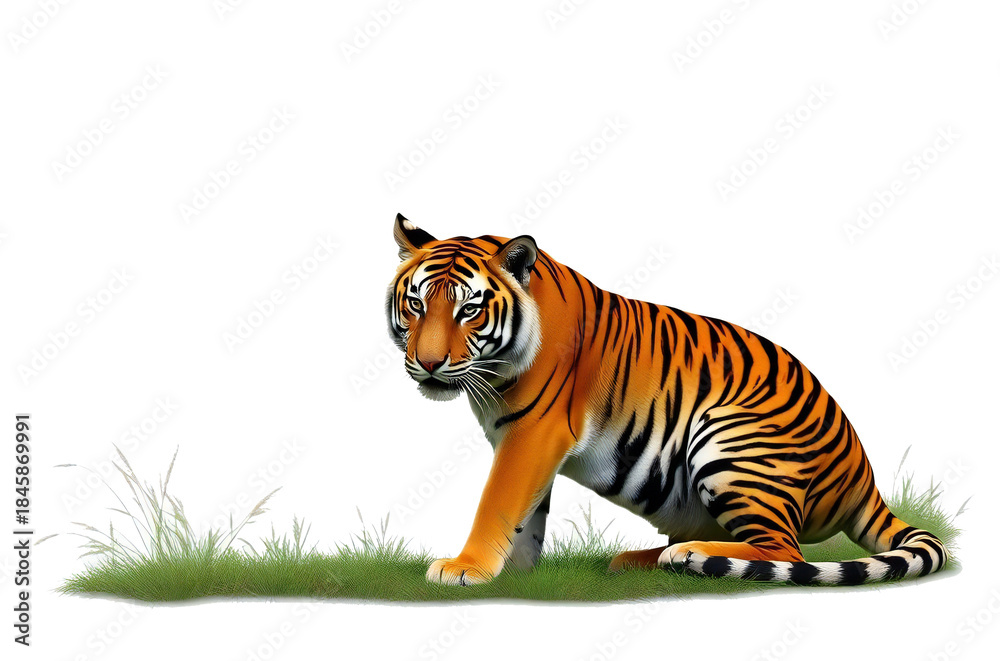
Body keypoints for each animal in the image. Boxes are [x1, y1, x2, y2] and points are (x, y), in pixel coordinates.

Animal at [385, 213, 949, 587]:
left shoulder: (533, 433)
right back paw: (638, 560)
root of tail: (864, 474)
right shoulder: (527, 443)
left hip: (729, 441)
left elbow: (497, 503)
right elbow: (526, 514)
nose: (428, 363)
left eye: (469, 311)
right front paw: (519, 572)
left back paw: (688, 556)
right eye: (415, 304)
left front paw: (465, 568)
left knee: (785, 550)